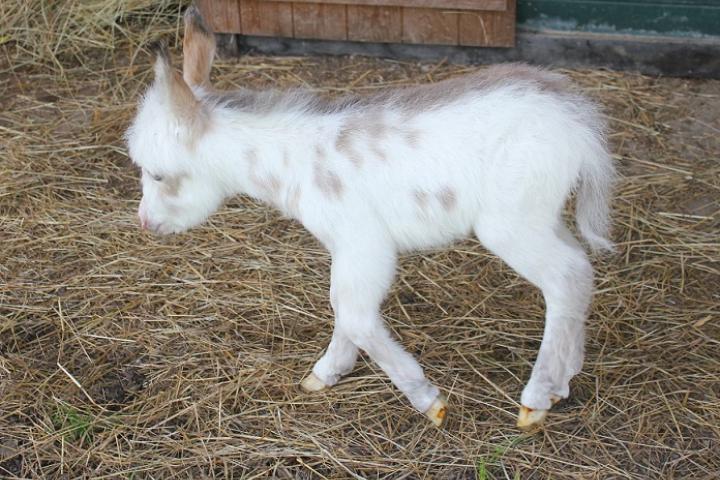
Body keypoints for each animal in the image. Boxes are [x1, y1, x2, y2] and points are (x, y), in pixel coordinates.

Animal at [128, 6, 612, 428]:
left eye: (158, 174)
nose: (145, 222)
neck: (290, 161)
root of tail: (579, 121)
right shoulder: (347, 249)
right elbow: (344, 310)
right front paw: (324, 375)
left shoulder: (362, 240)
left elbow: (354, 313)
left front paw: (429, 402)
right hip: (541, 213)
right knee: (579, 272)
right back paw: (565, 379)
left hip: (510, 221)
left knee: (565, 276)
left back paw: (535, 400)